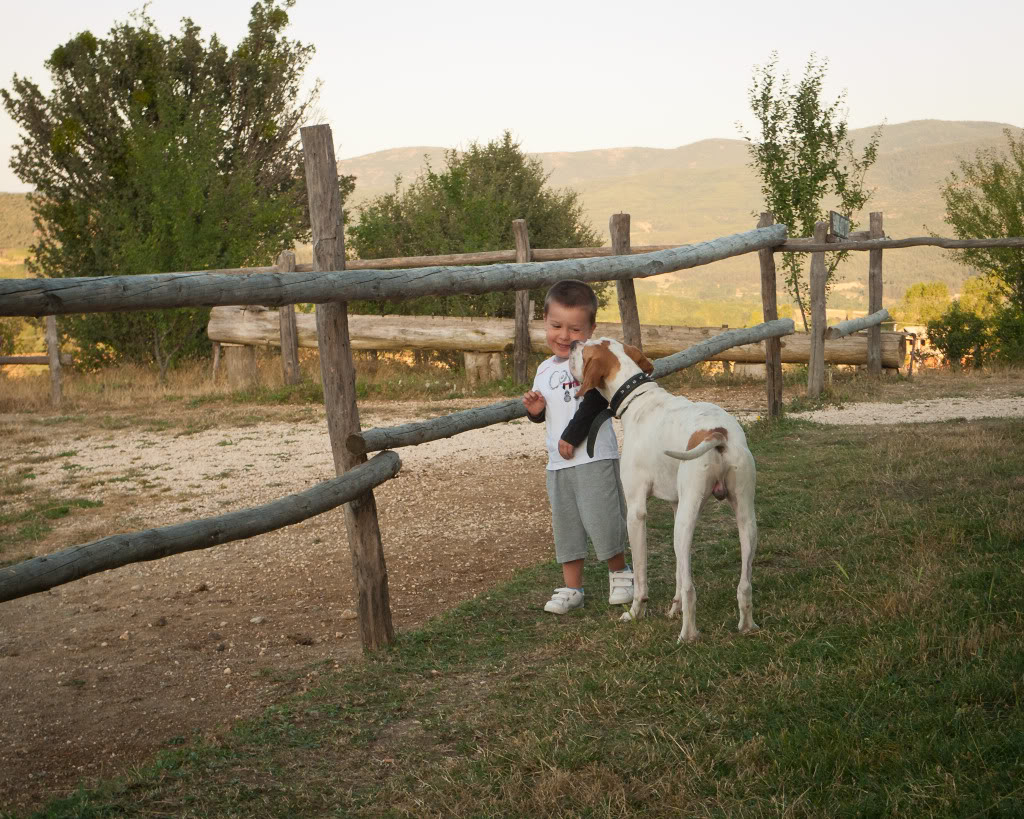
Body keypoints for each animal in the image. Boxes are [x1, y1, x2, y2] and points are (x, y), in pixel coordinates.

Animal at [569, 335, 761, 642]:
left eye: (585, 351)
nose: (573, 343)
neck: (638, 398)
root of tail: (718, 433)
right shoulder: (675, 505)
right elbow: (679, 573)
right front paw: (674, 609)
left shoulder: (636, 513)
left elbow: (642, 577)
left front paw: (636, 612)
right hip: (743, 517)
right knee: (743, 584)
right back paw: (746, 625)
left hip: (685, 522)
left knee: (692, 589)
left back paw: (687, 635)